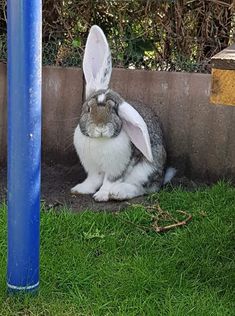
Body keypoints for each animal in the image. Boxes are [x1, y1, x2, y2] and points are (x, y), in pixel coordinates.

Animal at [70, 25, 175, 202]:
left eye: (114, 110)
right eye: (88, 109)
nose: (100, 128)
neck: (100, 141)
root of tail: (161, 178)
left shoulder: (117, 168)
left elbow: (109, 182)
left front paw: (102, 196)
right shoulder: (93, 168)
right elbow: (93, 179)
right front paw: (80, 189)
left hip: (144, 171)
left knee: (142, 188)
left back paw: (119, 193)